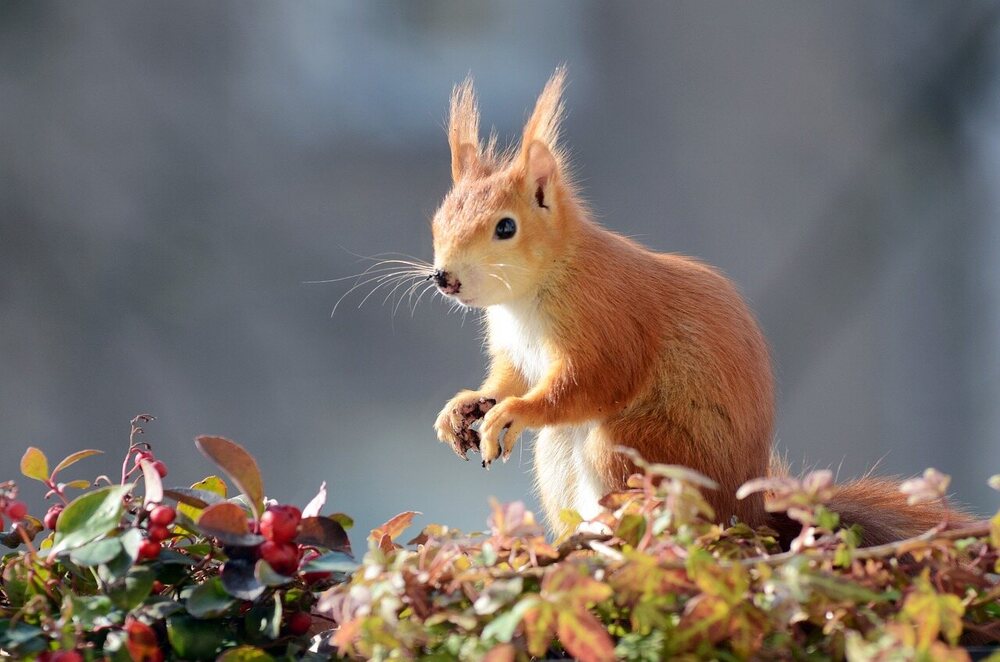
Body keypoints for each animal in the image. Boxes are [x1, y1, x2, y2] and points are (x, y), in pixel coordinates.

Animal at [430, 67, 972, 547]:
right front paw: (466, 406)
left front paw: (513, 412)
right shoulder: (515, 348)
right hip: (561, 454)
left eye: (506, 227)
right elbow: (509, 377)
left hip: (644, 452)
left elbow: (594, 381)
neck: (529, 294)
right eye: (438, 218)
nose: (444, 278)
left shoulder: (605, 317)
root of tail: (749, 515)